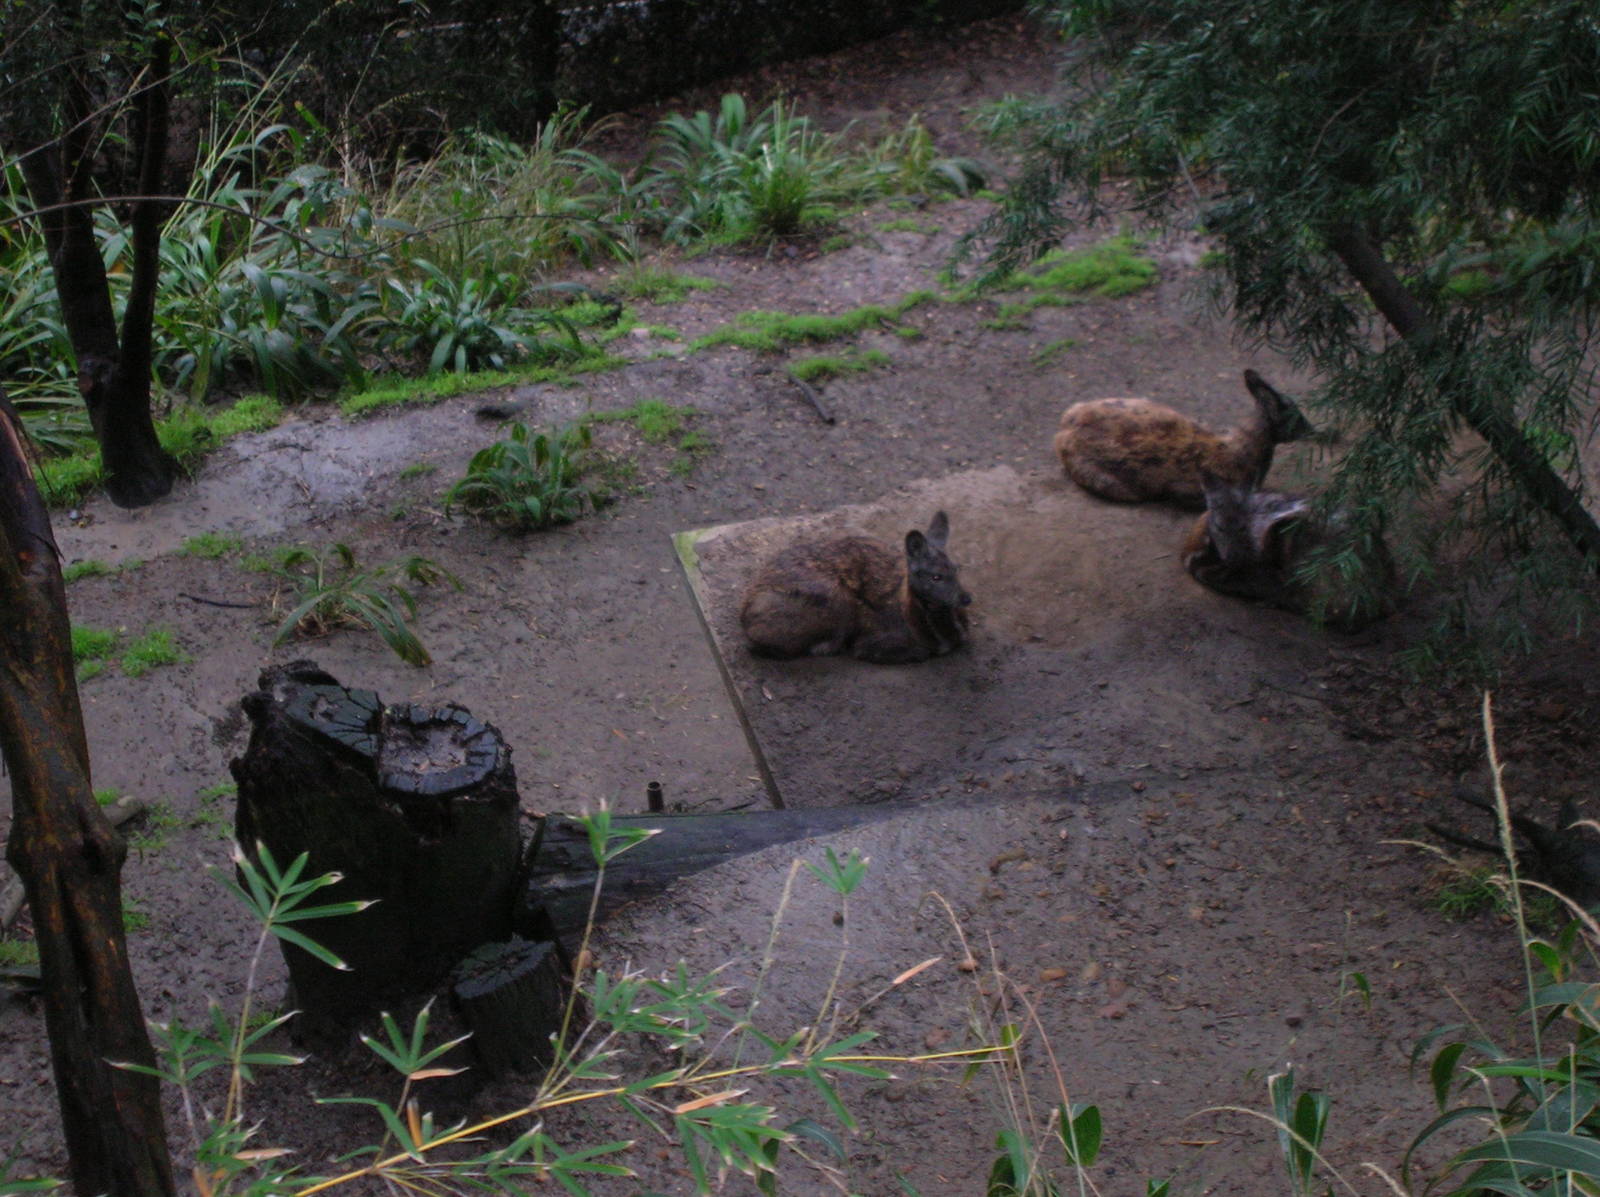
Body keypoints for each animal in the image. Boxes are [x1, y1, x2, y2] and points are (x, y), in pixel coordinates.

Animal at [739, 511, 971, 663]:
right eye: (935, 577)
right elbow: (916, 652)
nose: (966, 598)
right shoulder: (874, 639)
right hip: (837, 599)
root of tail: (744, 620)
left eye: (957, 568)